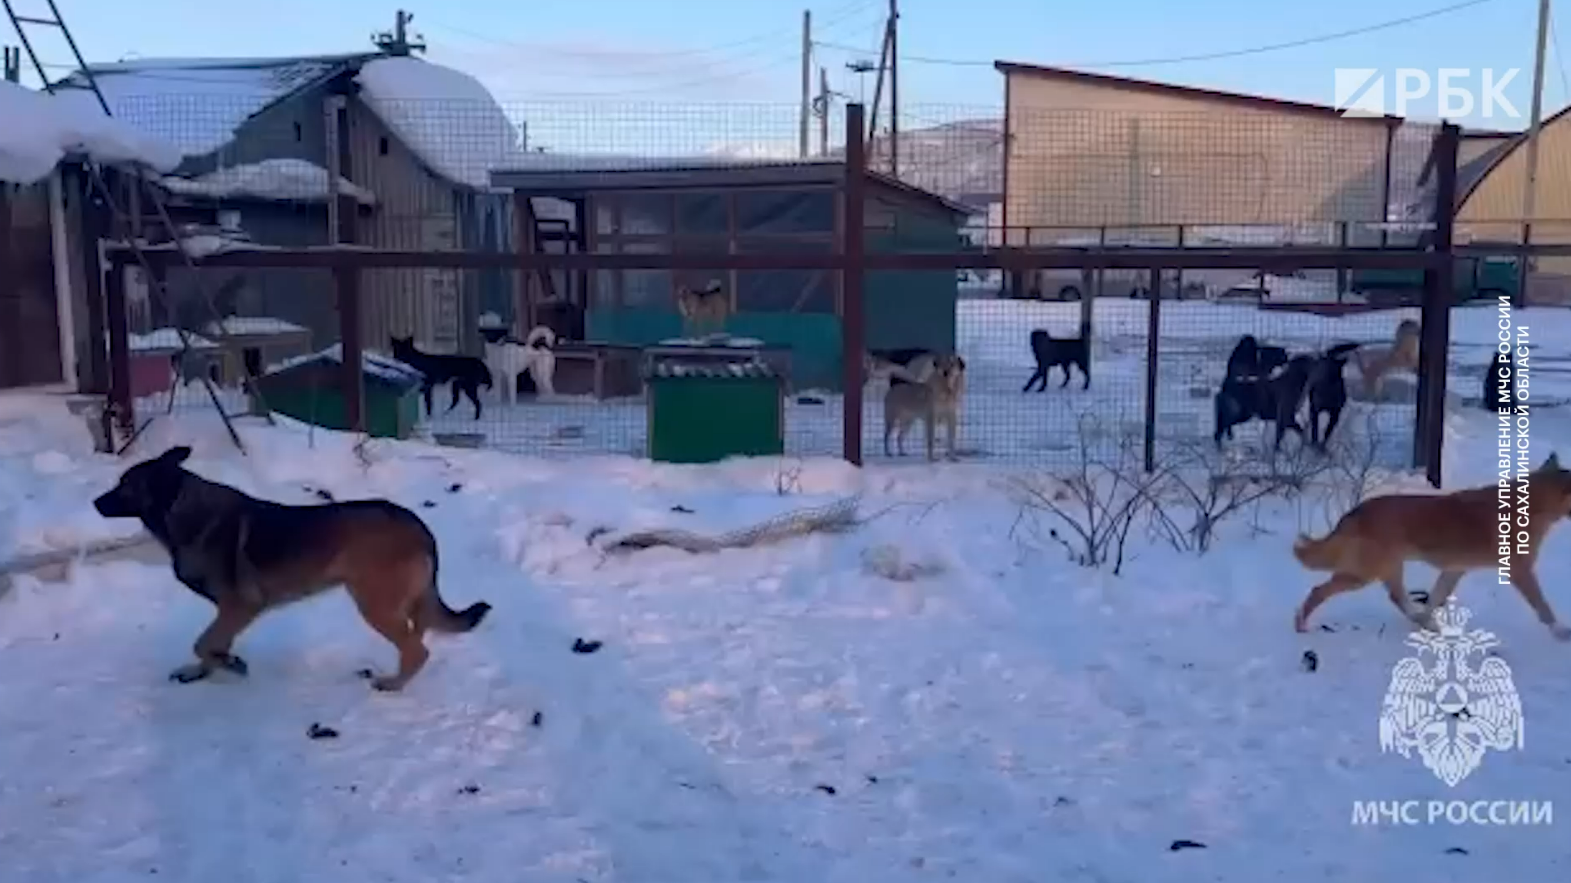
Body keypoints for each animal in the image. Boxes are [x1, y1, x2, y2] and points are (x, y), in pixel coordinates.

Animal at [90, 446, 490, 688]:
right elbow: (212, 643)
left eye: (125, 486)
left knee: (417, 649)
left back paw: (393, 684)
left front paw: (227, 663)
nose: (95, 503)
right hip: (396, 602)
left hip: (373, 603)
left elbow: (203, 642)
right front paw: (210, 667)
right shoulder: (230, 612)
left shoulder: (240, 606)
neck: (181, 509)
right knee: (418, 636)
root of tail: (419, 526)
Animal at [1294, 449, 1571, 634]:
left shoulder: (1454, 570)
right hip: (1364, 574)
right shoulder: (1520, 572)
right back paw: (1301, 625)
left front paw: (1426, 622)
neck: (1533, 503)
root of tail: (1357, 511)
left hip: (1385, 568)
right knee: (1318, 591)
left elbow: (1435, 599)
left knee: (1396, 597)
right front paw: (1560, 632)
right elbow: (1543, 607)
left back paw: (1422, 621)